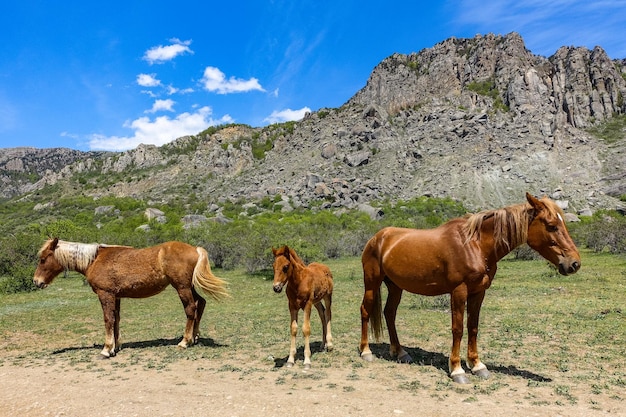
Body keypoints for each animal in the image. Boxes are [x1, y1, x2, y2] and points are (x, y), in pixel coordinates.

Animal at [31, 239, 227, 356]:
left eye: (43, 259)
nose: (36, 281)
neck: (95, 260)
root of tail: (195, 248)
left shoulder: (105, 294)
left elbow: (108, 319)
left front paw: (107, 349)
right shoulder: (116, 296)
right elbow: (116, 319)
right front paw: (116, 346)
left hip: (182, 287)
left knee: (190, 309)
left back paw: (185, 341)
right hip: (189, 287)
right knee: (201, 303)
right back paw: (194, 337)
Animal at [358, 193, 576, 382]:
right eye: (551, 226)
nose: (574, 263)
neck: (475, 245)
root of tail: (377, 238)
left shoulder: (478, 292)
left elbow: (473, 327)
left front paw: (477, 365)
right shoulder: (458, 291)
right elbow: (458, 329)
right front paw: (457, 370)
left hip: (395, 286)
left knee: (389, 313)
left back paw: (400, 352)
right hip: (372, 283)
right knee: (366, 310)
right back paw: (366, 351)